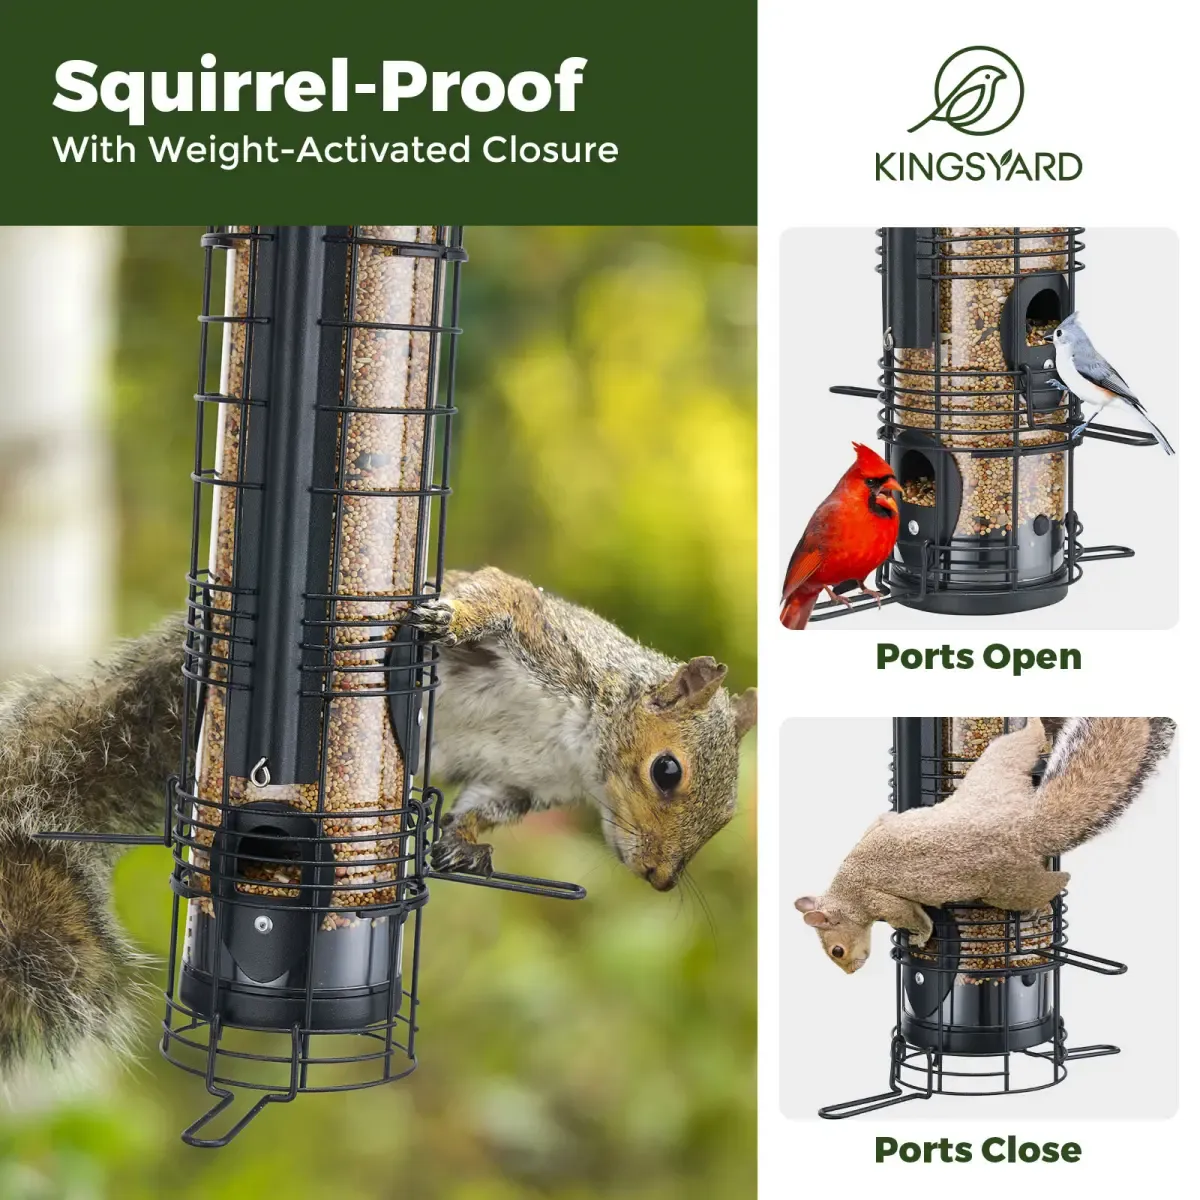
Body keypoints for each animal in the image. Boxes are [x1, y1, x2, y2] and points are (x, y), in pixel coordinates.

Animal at [1, 568, 755, 1077]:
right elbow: (499, 598)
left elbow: (483, 808)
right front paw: (445, 617)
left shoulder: (520, 782)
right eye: (667, 772)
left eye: (724, 817)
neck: (581, 752)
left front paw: (462, 847)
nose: (659, 877)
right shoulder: (552, 645)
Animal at [795, 716, 1175, 975]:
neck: (846, 891)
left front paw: (919, 938)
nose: (851, 971)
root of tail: (1025, 826)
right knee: (1023, 745)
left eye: (837, 951)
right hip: (998, 770)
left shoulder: (879, 899)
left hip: (1007, 884)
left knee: (1050, 884)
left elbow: (913, 917)